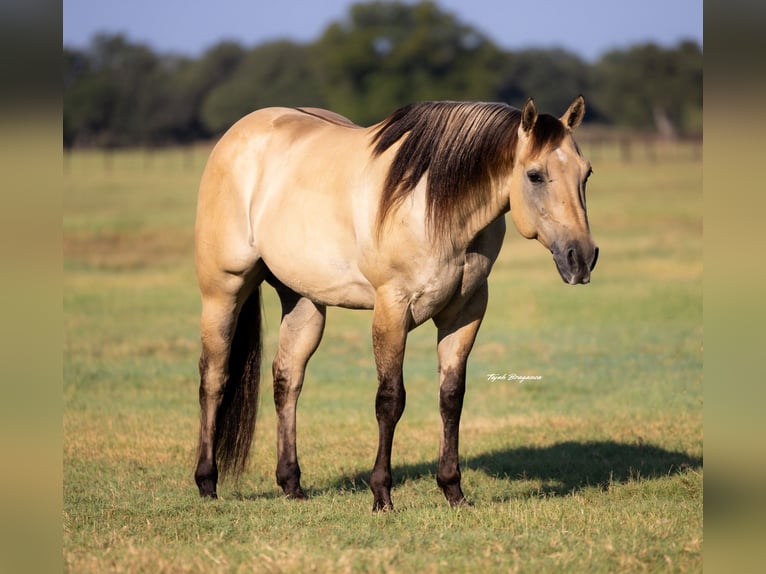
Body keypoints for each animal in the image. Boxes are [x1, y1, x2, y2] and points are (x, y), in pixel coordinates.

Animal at [193, 96, 599, 511]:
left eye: (586, 174)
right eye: (535, 175)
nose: (581, 258)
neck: (433, 206)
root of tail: (237, 134)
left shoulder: (465, 312)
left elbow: (451, 397)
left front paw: (453, 490)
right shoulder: (392, 309)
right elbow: (390, 400)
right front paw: (382, 495)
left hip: (304, 302)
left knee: (287, 379)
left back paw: (291, 484)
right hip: (223, 290)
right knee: (214, 377)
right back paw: (207, 482)